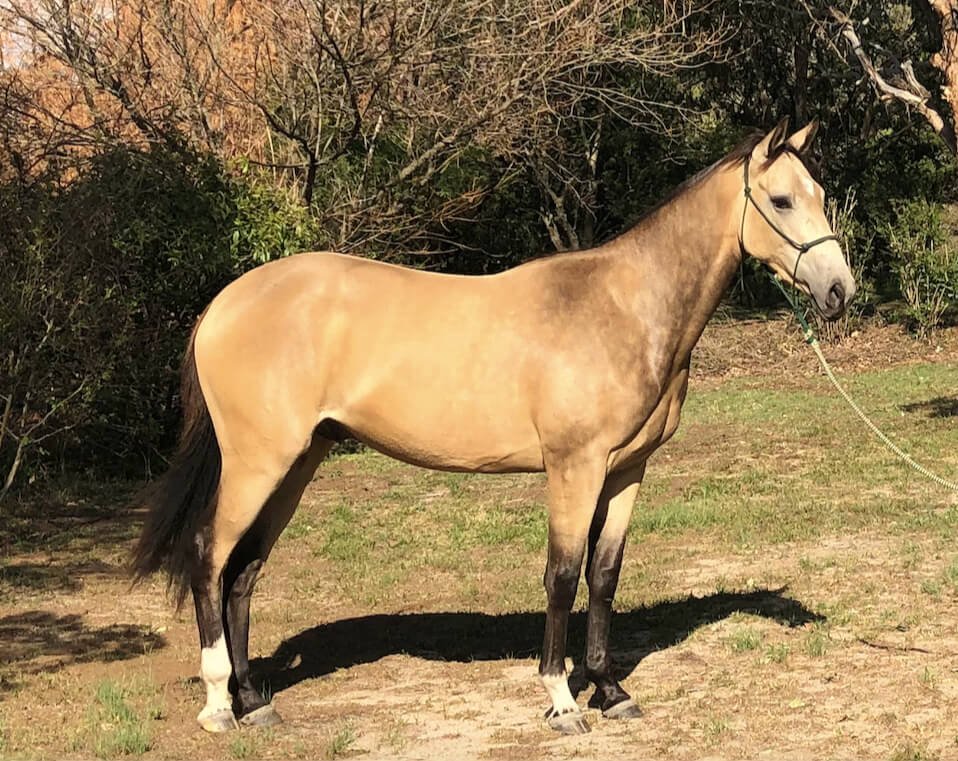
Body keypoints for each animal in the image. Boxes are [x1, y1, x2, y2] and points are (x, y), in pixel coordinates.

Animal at [133, 118, 856, 736]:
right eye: (782, 200)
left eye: (822, 195)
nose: (839, 290)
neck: (623, 306)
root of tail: (224, 303)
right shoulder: (574, 467)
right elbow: (562, 575)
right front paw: (563, 700)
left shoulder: (626, 469)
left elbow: (604, 575)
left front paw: (611, 690)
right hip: (259, 462)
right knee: (209, 555)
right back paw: (219, 704)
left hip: (299, 461)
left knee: (245, 570)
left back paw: (255, 701)